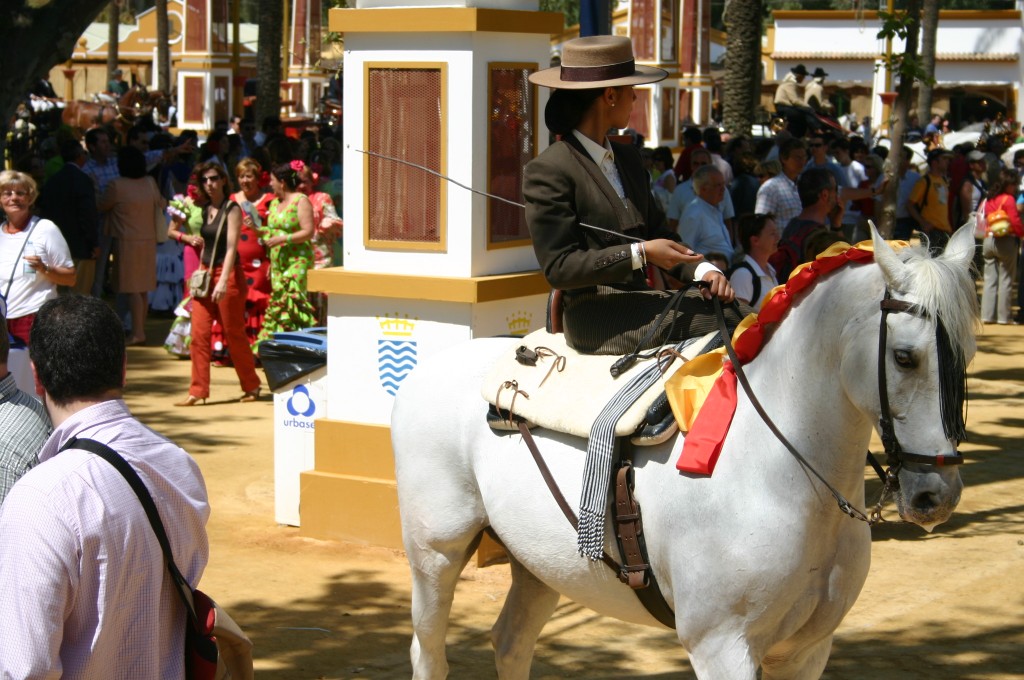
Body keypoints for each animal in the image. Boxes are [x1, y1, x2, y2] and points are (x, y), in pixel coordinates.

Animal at [389, 225, 974, 675]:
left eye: (965, 356)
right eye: (904, 357)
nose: (937, 496)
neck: (779, 472)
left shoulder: (806, 650)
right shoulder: (721, 649)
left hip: (537, 561)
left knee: (511, 642)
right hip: (435, 552)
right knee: (428, 651)